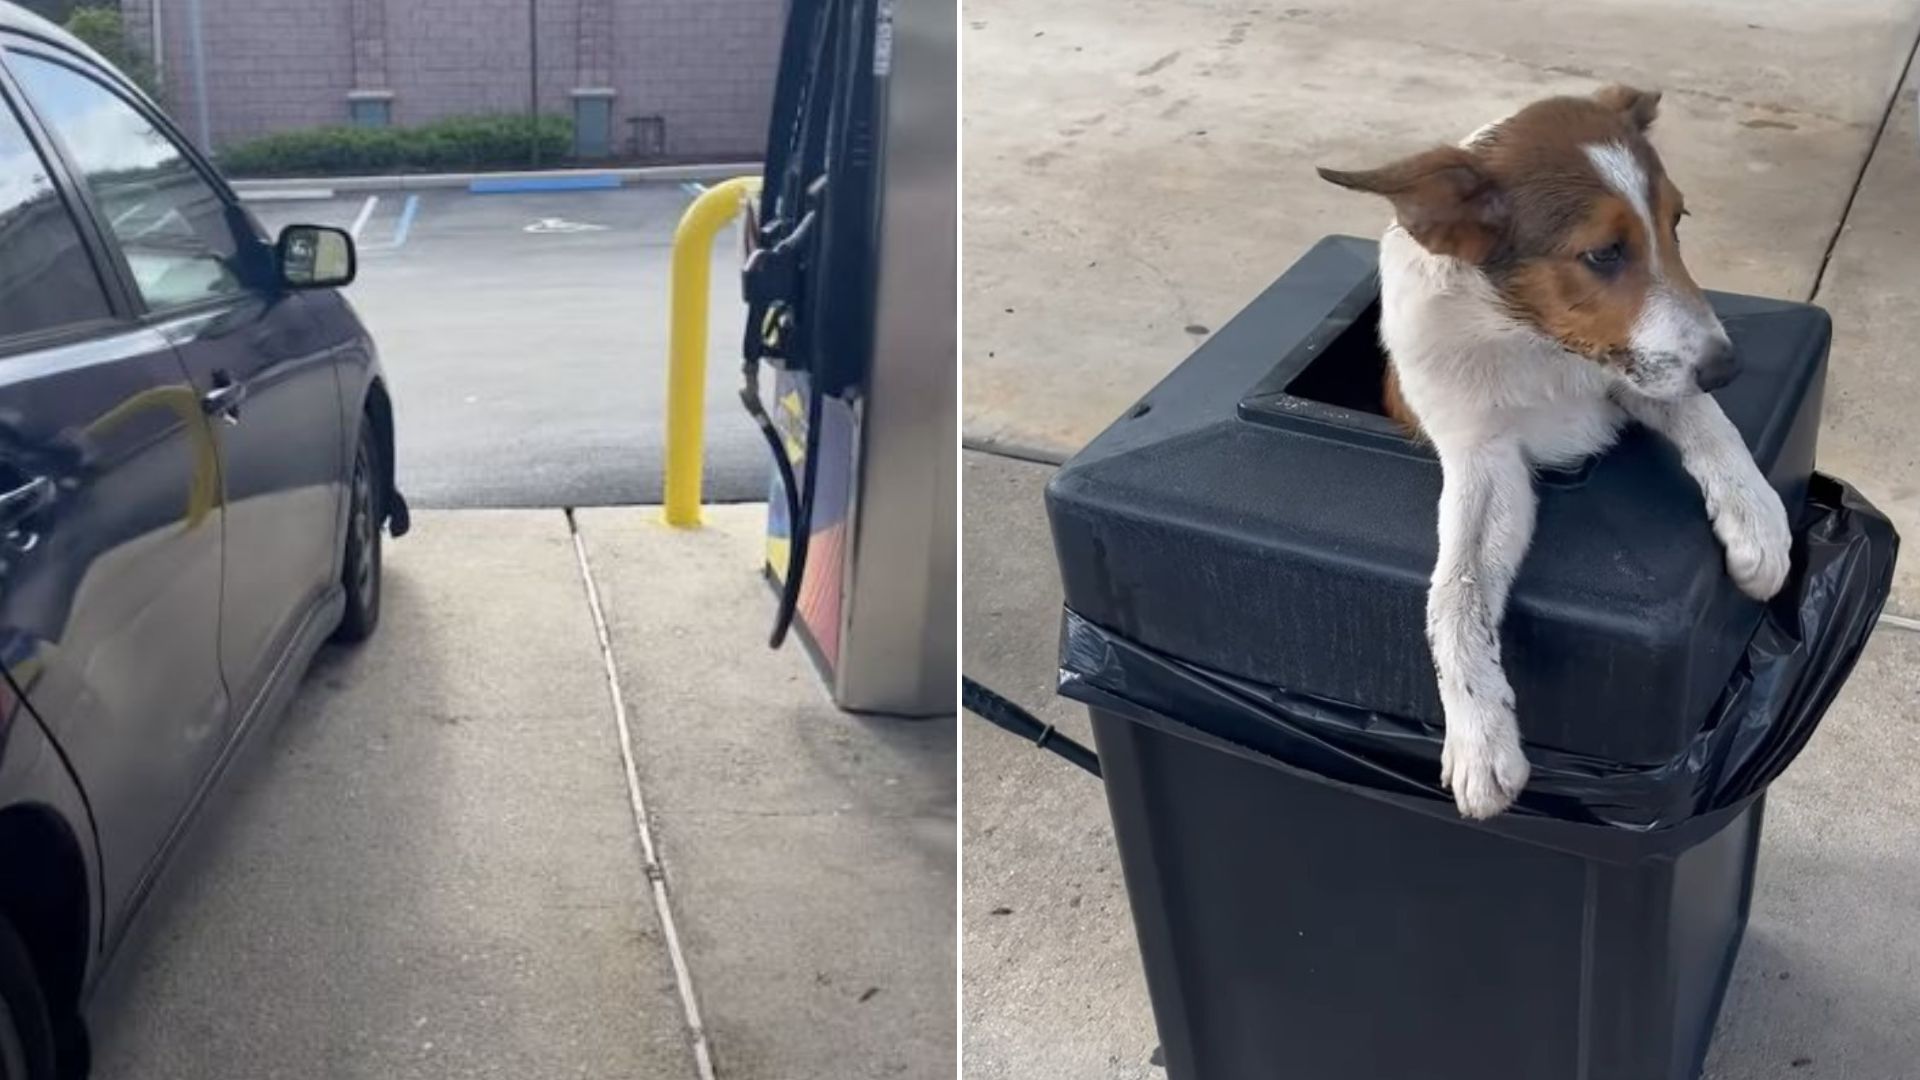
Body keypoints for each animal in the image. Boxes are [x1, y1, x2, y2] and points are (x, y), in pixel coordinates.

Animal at [1313, 88, 1789, 814]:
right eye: (1604, 254)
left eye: (1677, 222)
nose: (1727, 368)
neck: (1533, 342)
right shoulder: (1485, 459)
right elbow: (1456, 593)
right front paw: (1480, 735)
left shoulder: (1638, 370)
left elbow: (1709, 421)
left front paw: (1758, 521)